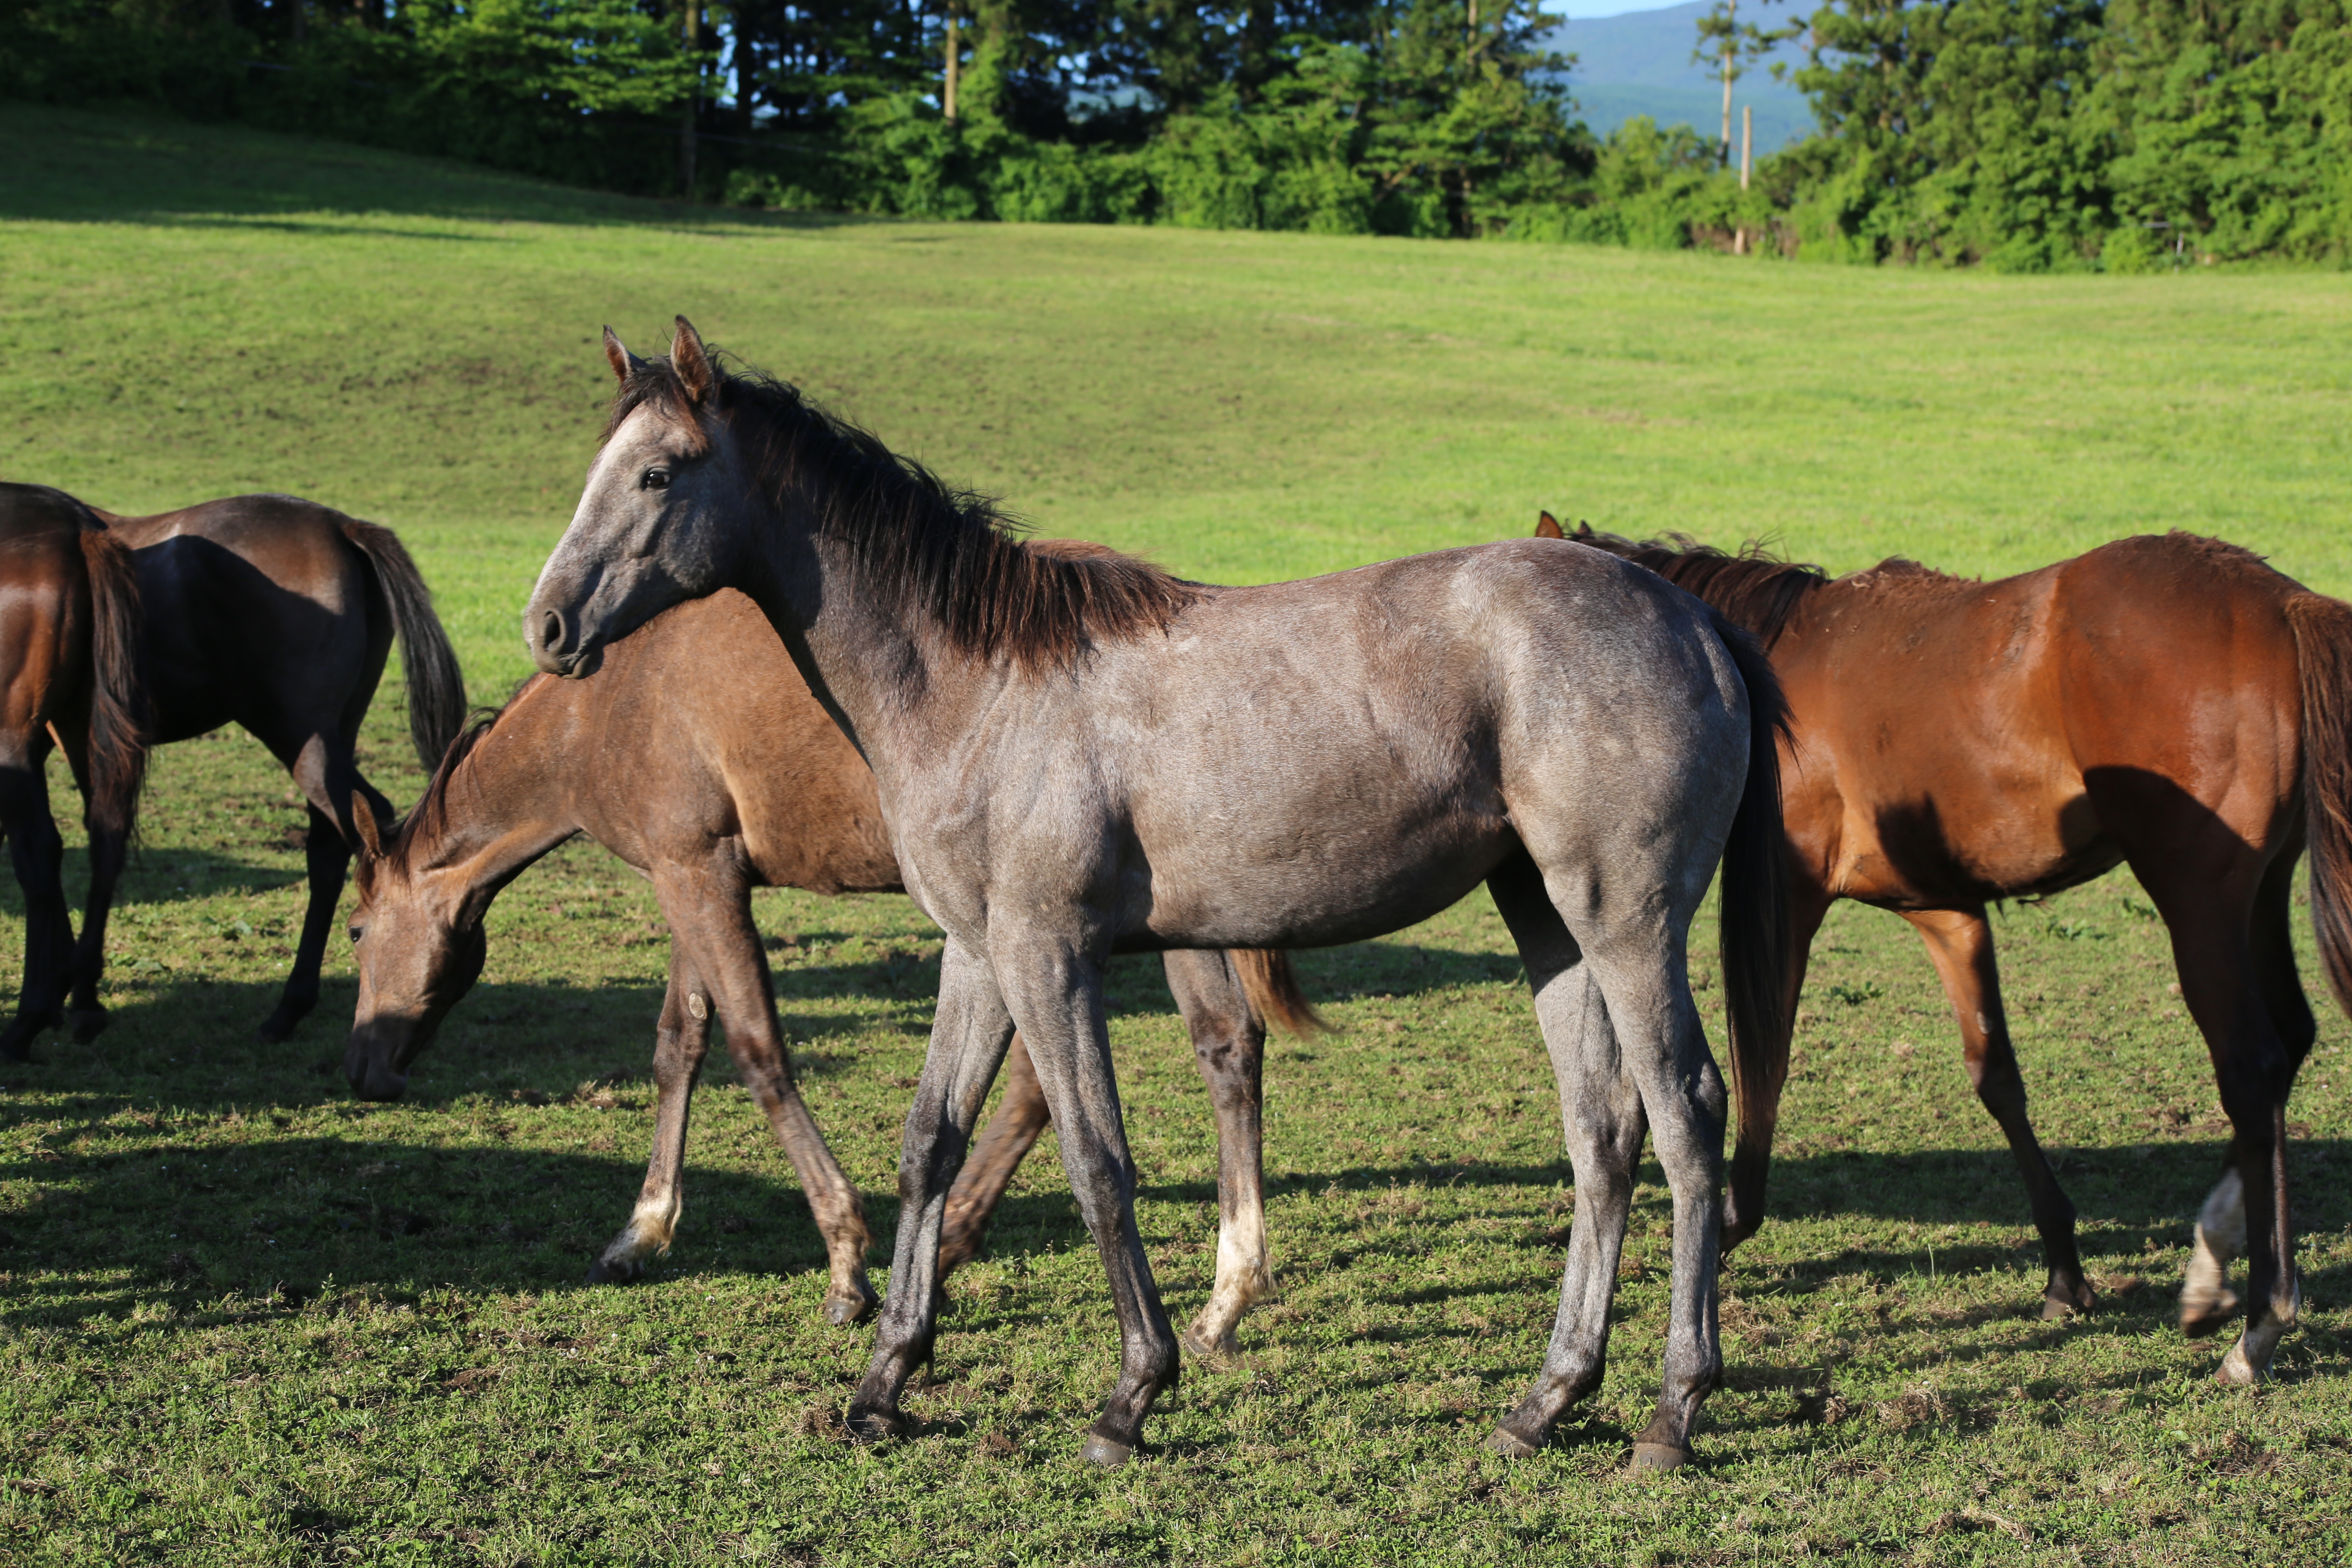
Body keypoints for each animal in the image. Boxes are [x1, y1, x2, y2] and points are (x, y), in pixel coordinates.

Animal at [0, 484, 147, 1062]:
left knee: (39, 848)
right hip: (82, 722)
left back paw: (30, 1018)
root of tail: (77, 525)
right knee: (104, 836)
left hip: (16, 733)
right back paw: (81, 996)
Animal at [343, 588, 1326, 1335]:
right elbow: (679, 1046)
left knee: (1067, 1079)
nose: (368, 1069)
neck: (603, 709)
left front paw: (847, 1261)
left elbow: (758, 1053)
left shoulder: (698, 877)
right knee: (1215, 1046)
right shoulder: (689, 874)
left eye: (353, 933)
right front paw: (643, 1230)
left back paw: (959, 1238)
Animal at [524, 319, 1787, 1476]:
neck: (980, 686)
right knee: (1602, 1131)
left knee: (1684, 1114)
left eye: (658, 472)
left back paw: (1674, 1409)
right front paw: (884, 1381)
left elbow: (1096, 1159)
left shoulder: (1048, 955)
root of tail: (1693, 619)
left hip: (1622, 919)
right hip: (1546, 920)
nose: (547, 627)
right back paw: (1546, 1399)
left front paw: (1132, 1394)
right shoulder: (977, 953)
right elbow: (930, 1143)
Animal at [1543, 514, 2352, 1382]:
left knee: (2253, 1068)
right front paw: (2064, 1270)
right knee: (2290, 1043)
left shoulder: (1789, 901)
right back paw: (2230, 1267)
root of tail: (2280, 602)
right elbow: (1997, 1077)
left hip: (2198, 901)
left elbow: (1765, 1061)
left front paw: (1729, 1224)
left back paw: (2257, 1323)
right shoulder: (1946, 912)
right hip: (2258, 897)